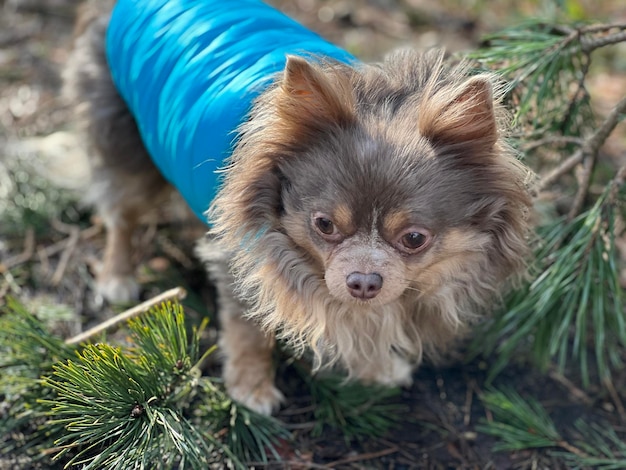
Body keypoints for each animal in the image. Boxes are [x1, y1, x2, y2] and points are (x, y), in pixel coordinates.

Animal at [64, 0, 532, 414]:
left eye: (414, 238)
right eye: (324, 225)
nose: (364, 281)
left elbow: (360, 322)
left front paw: (376, 368)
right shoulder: (245, 261)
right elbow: (248, 329)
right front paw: (251, 388)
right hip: (125, 141)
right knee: (122, 215)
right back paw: (117, 278)